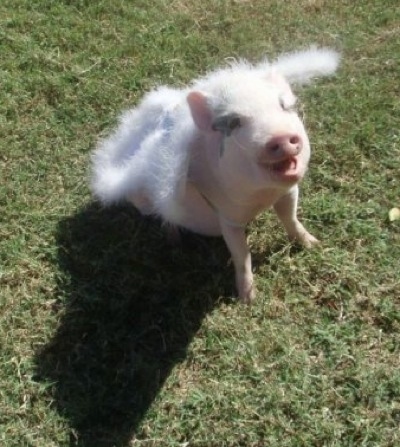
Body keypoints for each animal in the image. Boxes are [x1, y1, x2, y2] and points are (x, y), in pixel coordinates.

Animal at [91, 46, 340, 304]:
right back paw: (174, 241)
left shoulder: (288, 191)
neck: (262, 198)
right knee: (163, 215)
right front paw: (248, 300)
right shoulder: (227, 216)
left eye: (282, 106)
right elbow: (241, 253)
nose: (280, 136)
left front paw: (315, 245)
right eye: (235, 122)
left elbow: (290, 218)